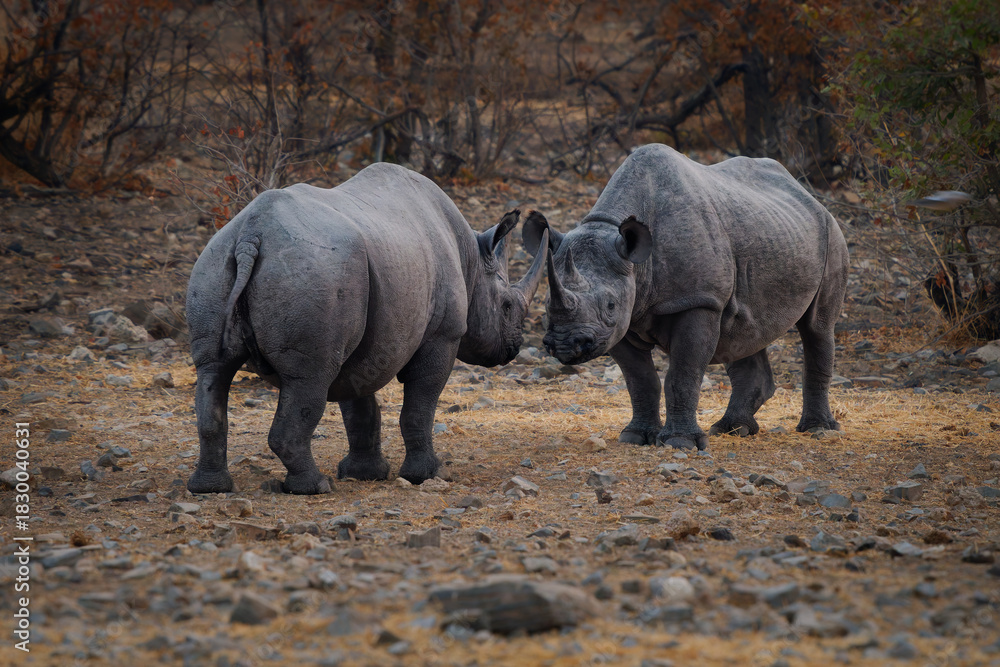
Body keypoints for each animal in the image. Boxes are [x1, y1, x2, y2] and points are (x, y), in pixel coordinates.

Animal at [185, 163, 547, 494]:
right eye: (507, 306)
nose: (513, 346)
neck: (471, 261)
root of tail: (251, 234)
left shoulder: (367, 337)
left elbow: (359, 403)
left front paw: (365, 474)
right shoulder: (442, 336)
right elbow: (419, 406)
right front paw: (428, 475)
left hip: (216, 264)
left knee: (214, 369)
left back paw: (210, 488)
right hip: (315, 272)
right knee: (309, 378)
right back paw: (315, 487)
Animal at [524, 144, 848, 449]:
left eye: (610, 305)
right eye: (545, 306)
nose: (565, 344)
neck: (636, 264)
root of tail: (806, 193)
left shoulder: (698, 300)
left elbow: (682, 374)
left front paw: (679, 442)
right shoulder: (620, 323)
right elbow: (640, 379)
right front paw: (635, 437)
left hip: (830, 231)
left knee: (817, 327)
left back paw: (817, 429)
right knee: (743, 332)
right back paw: (732, 429)